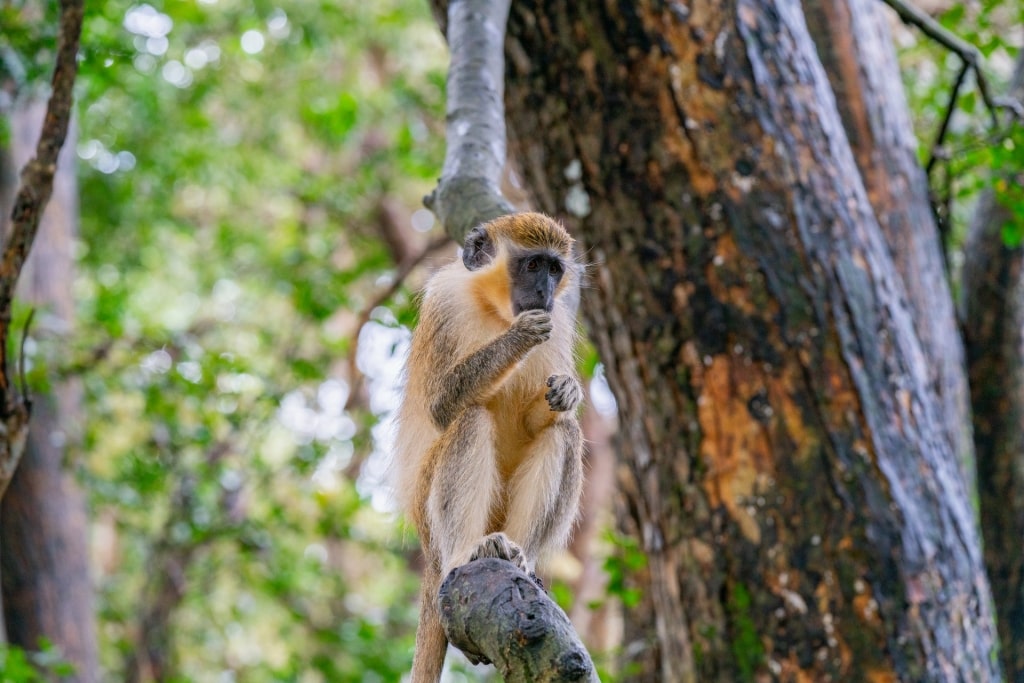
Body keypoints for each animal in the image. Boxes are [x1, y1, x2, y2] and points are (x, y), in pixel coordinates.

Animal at [391, 210, 585, 679]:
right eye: (533, 265)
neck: (495, 311)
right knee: (470, 418)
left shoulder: (559, 325)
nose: (544, 294)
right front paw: (519, 338)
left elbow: (550, 413)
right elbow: (442, 406)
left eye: (555, 269)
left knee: (564, 432)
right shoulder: (444, 303)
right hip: (429, 514)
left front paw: (569, 392)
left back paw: (519, 557)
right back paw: (467, 552)